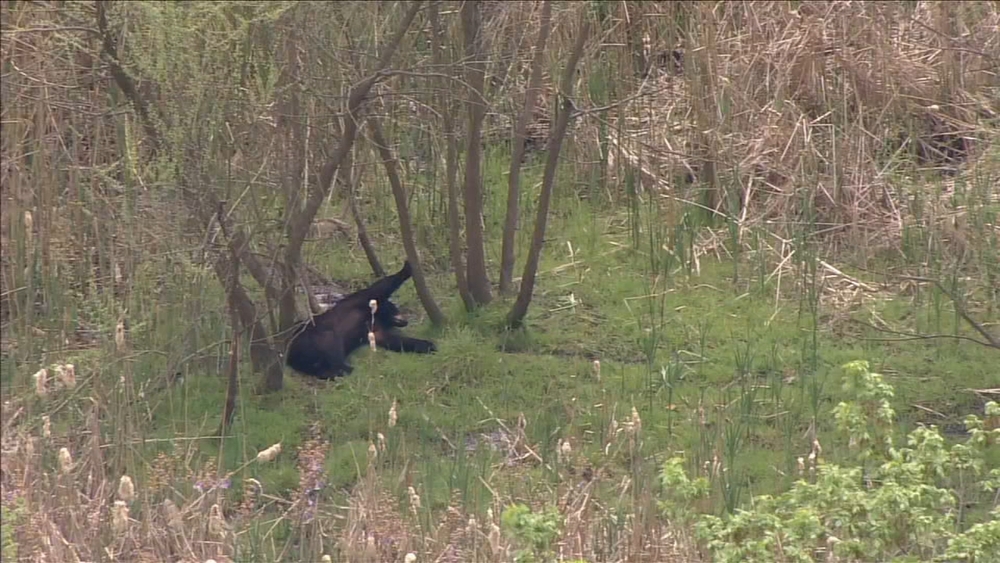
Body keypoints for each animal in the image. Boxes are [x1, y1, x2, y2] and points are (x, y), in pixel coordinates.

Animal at [284, 261, 436, 379]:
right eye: (396, 308)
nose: (404, 319)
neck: (375, 316)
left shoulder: (375, 330)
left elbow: (393, 340)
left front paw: (428, 345)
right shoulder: (361, 300)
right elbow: (379, 287)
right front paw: (406, 268)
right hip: (312, 338)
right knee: (330, 344)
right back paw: (344, 369)